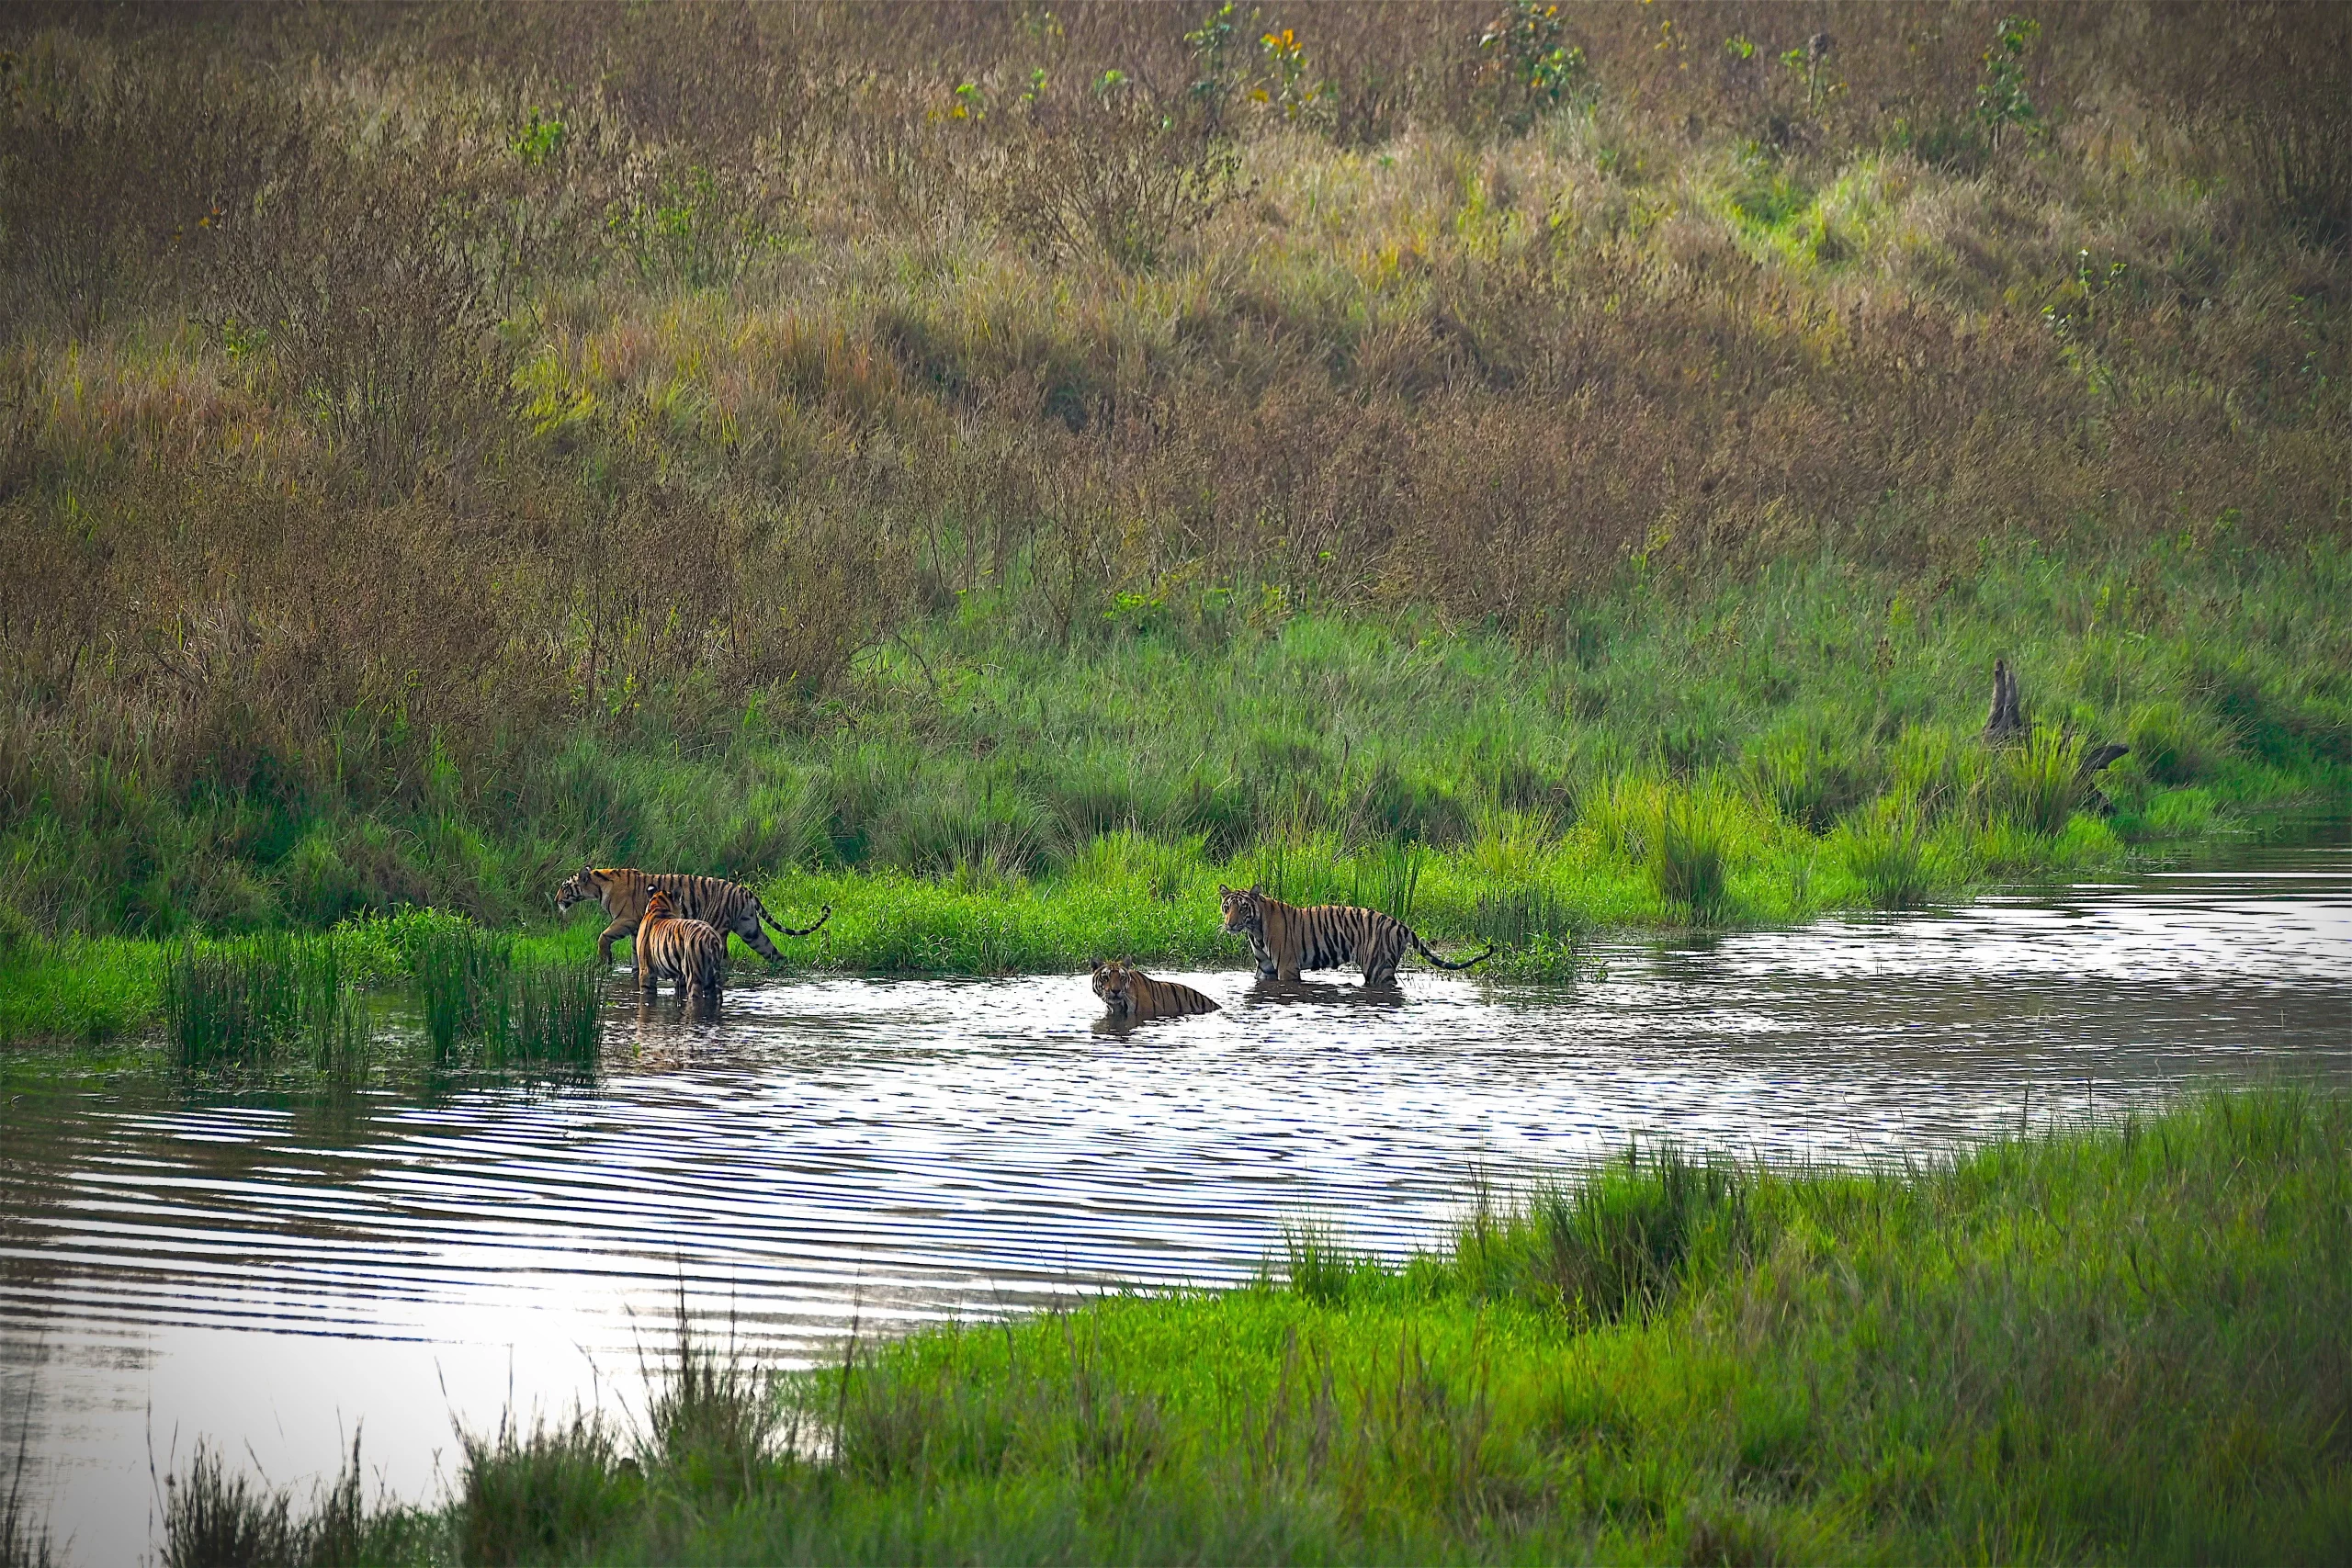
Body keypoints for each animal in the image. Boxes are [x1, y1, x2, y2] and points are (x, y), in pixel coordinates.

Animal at [555, 864, 832, 973]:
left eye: (564, 887)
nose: (556, 899)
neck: (599, 885)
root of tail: (745, 891)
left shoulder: (626, 920)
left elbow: (603, 936)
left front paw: (605, 961)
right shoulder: (635, 929)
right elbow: (635, 954)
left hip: (718, 927)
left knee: (725, 960)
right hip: (750, 929)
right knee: (775, 953)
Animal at [1223, 884, 1496, 982]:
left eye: (1242, 908)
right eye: (1227, 907)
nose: (1230, 924)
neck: (1254, 930)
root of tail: (1400, 923)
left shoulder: (1287, 968)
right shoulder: (1265, 968)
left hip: (1377, 967)